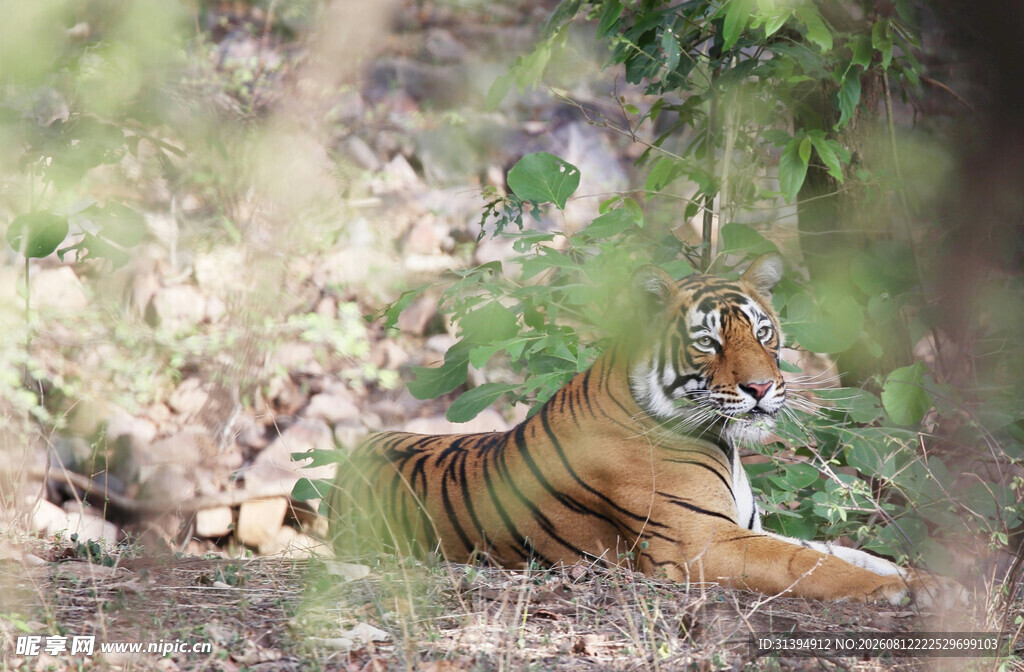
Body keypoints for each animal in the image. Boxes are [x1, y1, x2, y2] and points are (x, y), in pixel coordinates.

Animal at [329, 253, 960, 605]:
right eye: (709, 341)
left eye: (763, 333)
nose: (761, 388)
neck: (722, 443)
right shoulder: (700, 543)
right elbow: (806, 563)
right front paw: (887, 591)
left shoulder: (743, 527)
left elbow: (847, 550)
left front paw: (928, 580)